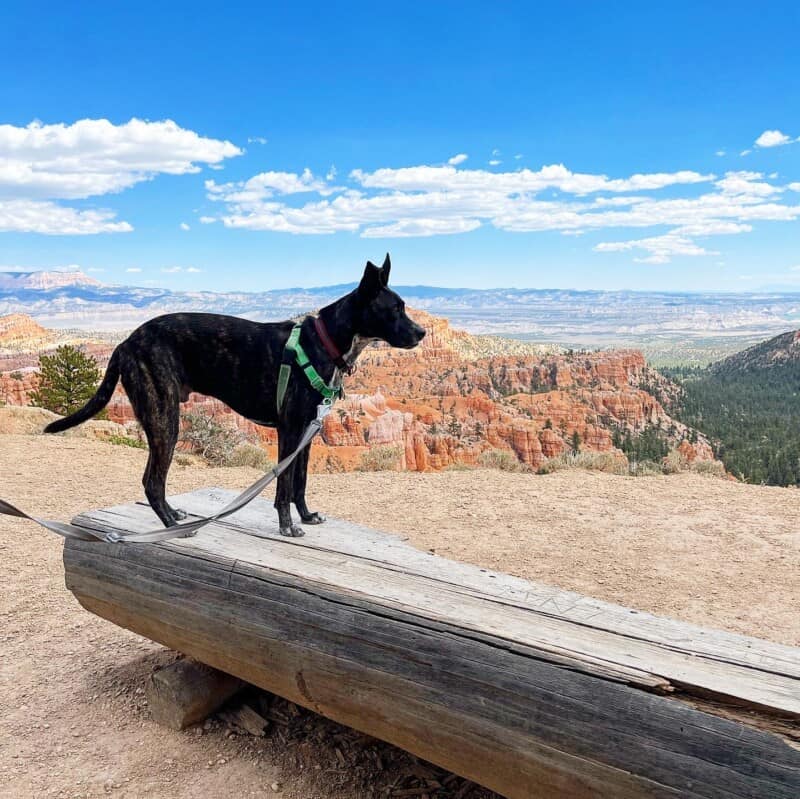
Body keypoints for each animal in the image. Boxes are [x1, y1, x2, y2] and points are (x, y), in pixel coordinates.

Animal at [45, 256, 424, 536]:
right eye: (395, 309)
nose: (422, 332)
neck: (325, 341)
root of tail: (126, 342)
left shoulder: (307, 433)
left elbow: (300, 482)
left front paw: (306, 516)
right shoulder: (289, 431)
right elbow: (284, 485)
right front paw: (287, 526)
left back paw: (173, 515)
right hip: (165, 419)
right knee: (152, 481)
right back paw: (168, 524)